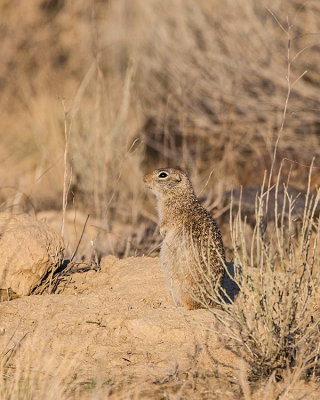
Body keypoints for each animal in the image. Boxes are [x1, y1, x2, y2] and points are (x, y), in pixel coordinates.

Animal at [144, 168, 226, 310]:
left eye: (163, 175)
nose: (144, 179)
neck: (179, 195)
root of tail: (210, 303)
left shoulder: (169, 215)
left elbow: (165, 225)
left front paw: (161, 232)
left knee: (190, 306)